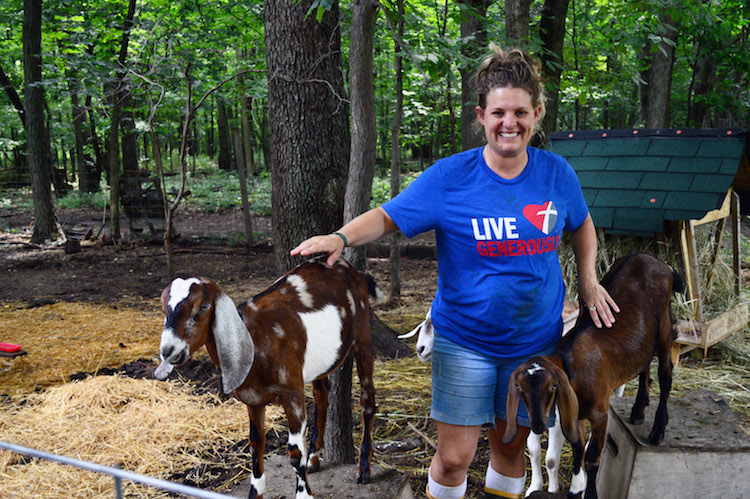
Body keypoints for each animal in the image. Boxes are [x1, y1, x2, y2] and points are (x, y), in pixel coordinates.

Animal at [155, 258, 384, 499]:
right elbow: (256, 444)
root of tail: (352, 269)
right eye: (163, 308)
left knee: (367, 400)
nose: (168, 351)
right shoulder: (253, 399)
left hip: (362, 335)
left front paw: (304, 494)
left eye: (203, 307)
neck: (255, 340)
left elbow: (294, 451)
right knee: (322, 394)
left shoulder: (292, 394)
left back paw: (363, 469)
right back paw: (314, 458)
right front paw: (255, 493)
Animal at [506, 254, 688, 499]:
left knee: (665, 373)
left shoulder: (600, 414)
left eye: (552, 387)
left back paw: (658, 429)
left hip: (664, 327)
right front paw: (575, 489)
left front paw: (589, 493)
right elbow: (577, 449)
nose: (536, 424)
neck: (574, 369)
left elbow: (592, 458)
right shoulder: (574, 414)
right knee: (644, 365)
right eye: (521, 390)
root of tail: (655, 260)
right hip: (643, 337)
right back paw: (638, 410)